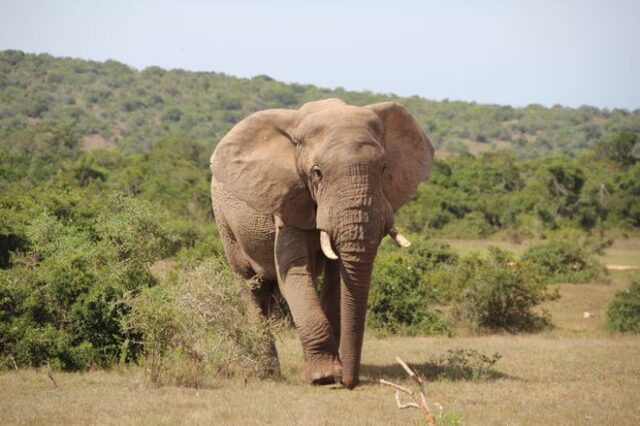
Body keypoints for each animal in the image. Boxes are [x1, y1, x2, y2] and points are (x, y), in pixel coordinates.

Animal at [211, 98, 436, 388]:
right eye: (316, 173)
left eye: (384, 169)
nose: (350, 382)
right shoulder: (288, 198)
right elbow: (295, 272)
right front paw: (325, 376)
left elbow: (337, 280)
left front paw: (333, 371)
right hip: (224, 221)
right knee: (251, 286)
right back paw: (265, 373)